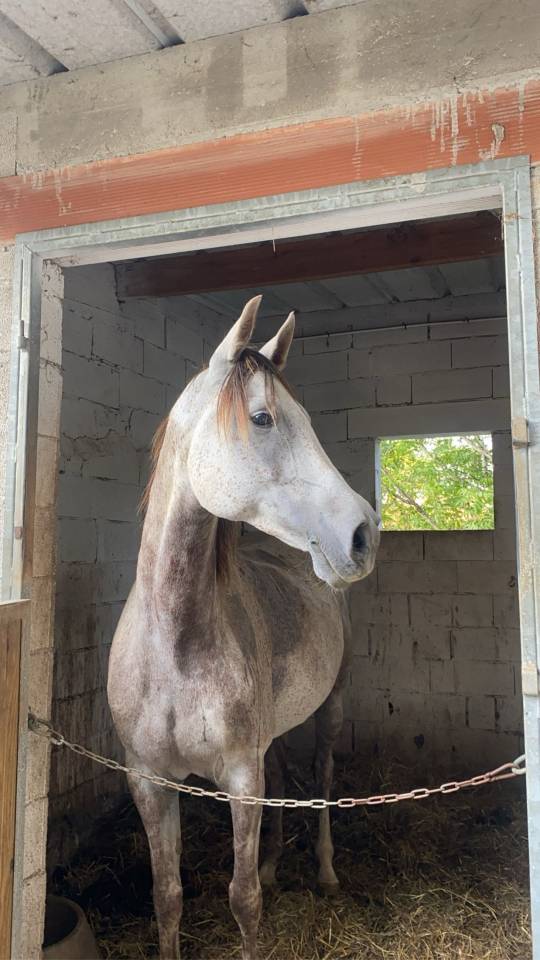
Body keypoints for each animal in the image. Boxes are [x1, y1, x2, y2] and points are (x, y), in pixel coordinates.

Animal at [107, 295, 380, 959]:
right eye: (262, 418)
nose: (363, 534)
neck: (175, 644)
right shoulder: (148, 780)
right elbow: (167, 896)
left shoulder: (238, 778)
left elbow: (243, 900)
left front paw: (265, 888)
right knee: (284, 774)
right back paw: (277, 864)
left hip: (331, 707)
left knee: (323, 779)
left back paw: (324, 873)